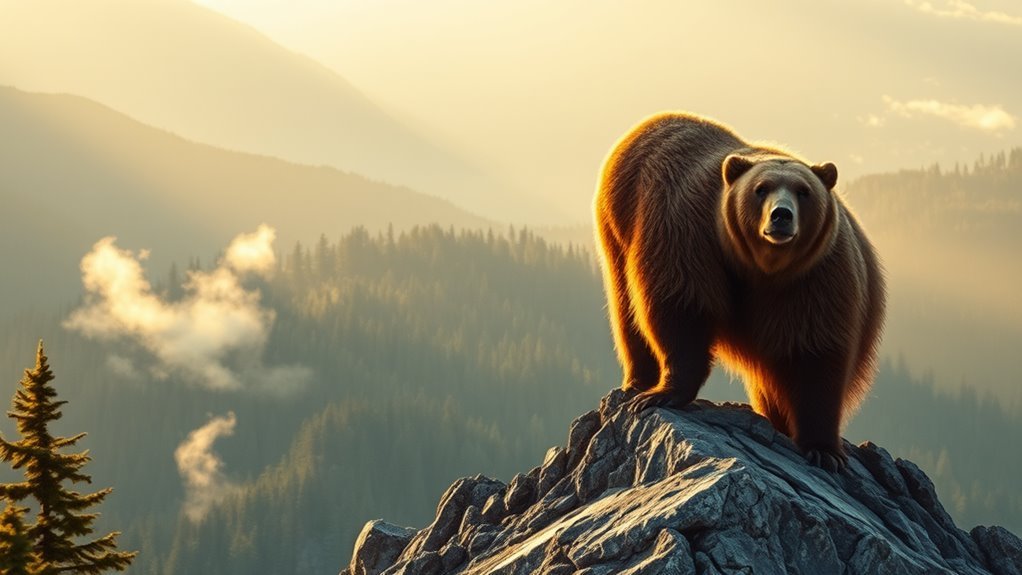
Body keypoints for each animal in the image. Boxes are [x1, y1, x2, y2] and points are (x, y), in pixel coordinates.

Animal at [593, 112, 885, 471]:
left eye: (803, 191)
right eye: (761, 189)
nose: (781, 215)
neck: (762, 266)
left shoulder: (817, 277)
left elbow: (817, 358)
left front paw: (823, 449)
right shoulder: (688, 235)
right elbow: (680, 311)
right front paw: (664, 392)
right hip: (616, 237)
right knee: (628, 313)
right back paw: (637, 381)